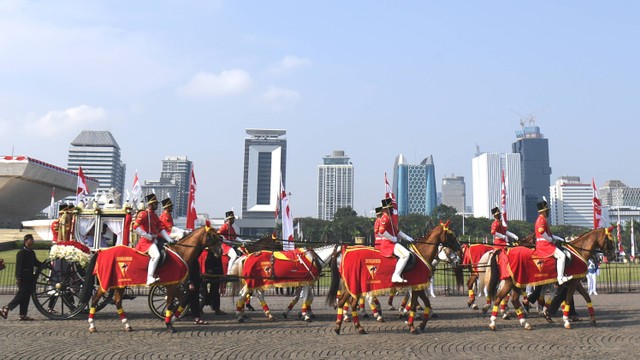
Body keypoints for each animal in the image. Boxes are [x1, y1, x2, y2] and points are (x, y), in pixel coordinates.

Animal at [80, 225, 222, 332]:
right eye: (213, 236)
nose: (220, 252)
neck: (180, 252)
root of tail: (101, 251)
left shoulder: (173, 284)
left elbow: (182, 300)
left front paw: (173, 318)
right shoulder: (171, 285)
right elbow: (170, 302)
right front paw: (169, 324)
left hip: (120, 283)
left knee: (118, 301)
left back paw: (126, 325)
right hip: (106, 282)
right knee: (96, 298)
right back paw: (92, 325)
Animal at [324, 221, 460, 336]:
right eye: (451, 234)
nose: (459, 248)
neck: (421, 256)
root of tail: (343, 252)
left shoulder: (418, 287)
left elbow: (426, 304)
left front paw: (420, 325)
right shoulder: (416, 286)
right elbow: (414, 304)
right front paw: (412, 325)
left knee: (345, 301)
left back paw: (347, 326)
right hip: (355, 283)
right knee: (348, 301)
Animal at [488, 226, 616, 330]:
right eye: (610, 240)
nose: (613, 256)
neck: (578, 252)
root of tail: (505, 251)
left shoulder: (575, 282)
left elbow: (586, 297)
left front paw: (592, 318)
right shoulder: (573, 282)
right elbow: (567, 299)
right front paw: (566, 320)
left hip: (516, 282)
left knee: (513, 299)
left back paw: (524, 322)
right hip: (511, 282)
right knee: (499, 298)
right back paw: (495, 322)